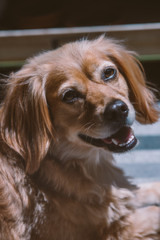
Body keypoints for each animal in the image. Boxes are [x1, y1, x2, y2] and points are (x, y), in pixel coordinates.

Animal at [0, 36, 160, 240]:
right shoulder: (116, 230)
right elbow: (154, 211)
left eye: (109, 73)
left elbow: (145, 188)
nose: (117, 109)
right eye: (70, 95)